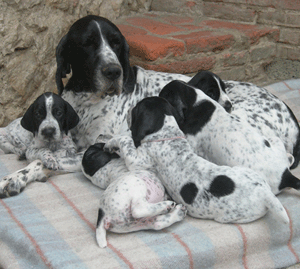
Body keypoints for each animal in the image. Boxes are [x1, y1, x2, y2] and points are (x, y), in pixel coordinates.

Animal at [104, 97, 290, 223]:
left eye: (136, 109)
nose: (129, 110)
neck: (166, 133)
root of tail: (266, 194)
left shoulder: (137, 160)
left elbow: (125, 141)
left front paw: (110, 143)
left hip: (231, 216)